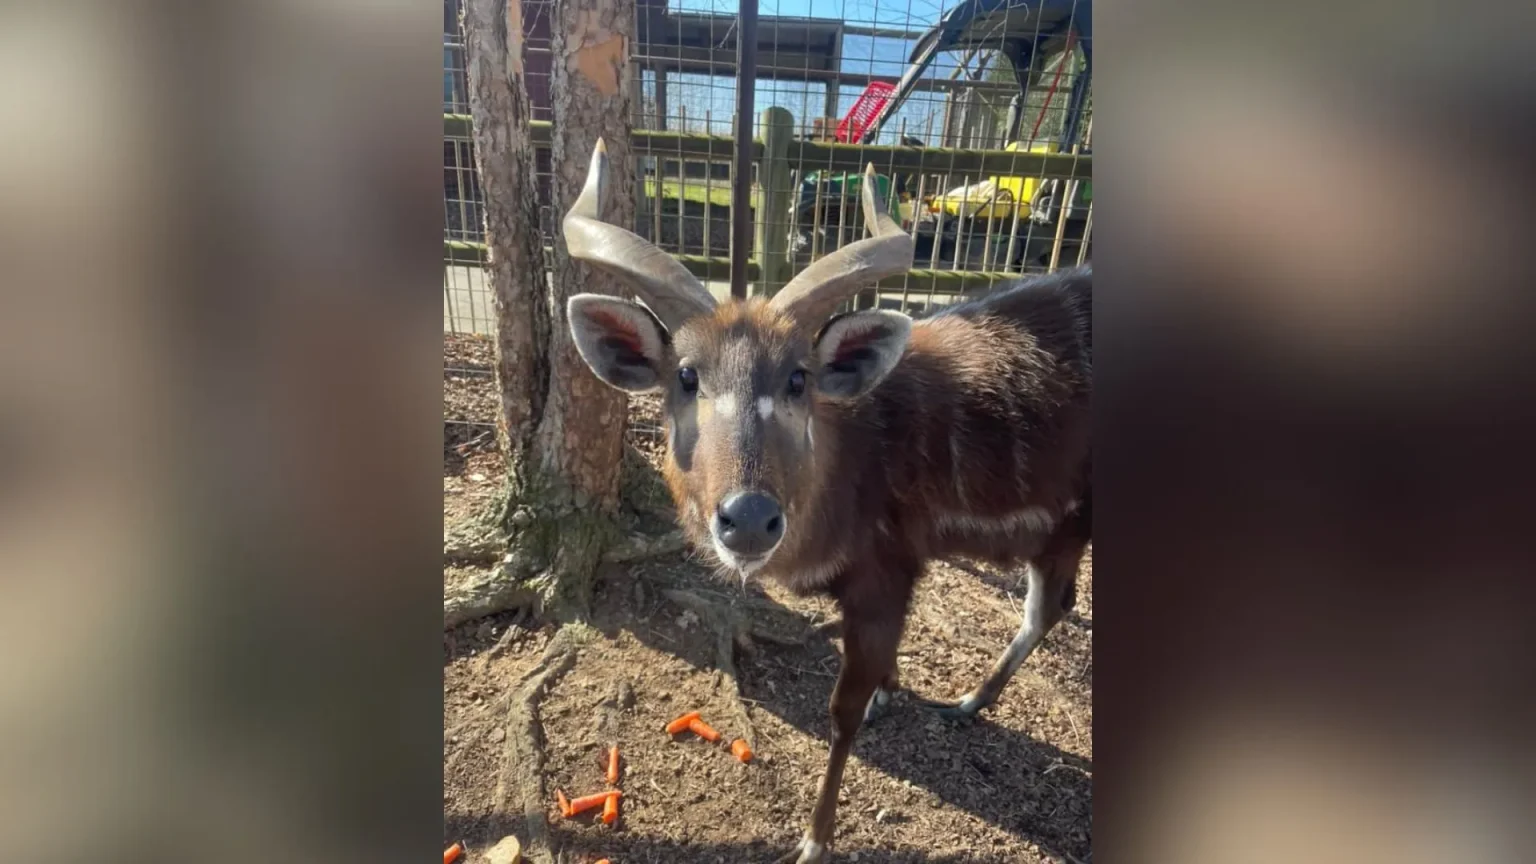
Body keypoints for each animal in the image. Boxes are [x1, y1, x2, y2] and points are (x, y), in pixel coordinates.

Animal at [564, 139, 1091, 863]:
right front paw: (889, 697)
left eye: (797, 378)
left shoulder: (883, 573)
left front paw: (815, 840)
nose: (748, 520)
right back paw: (968, 701)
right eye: (686, 376)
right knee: (1051, 607)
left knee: (1052, 607)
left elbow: (841, 713)